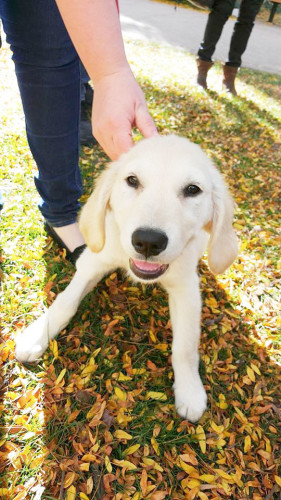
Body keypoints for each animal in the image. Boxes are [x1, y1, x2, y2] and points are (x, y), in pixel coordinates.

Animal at [15, 134, 237, 422]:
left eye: (192, 189)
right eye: (132, 180)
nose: (148, 241)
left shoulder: (186, 289)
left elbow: (186, 345)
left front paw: (189, 390)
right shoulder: (93, 261)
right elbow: (66, 301)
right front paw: (37, 334)